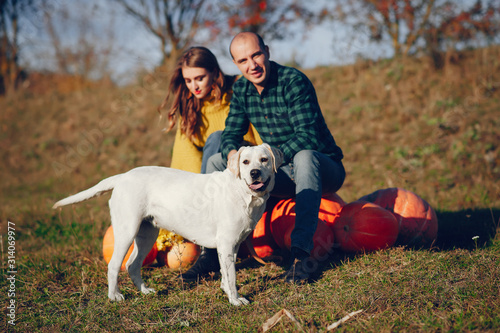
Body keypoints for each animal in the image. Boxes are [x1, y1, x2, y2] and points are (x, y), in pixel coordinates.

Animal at [54, 143, 284, 304]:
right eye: (245, 162)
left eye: (264, 160)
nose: (255, 173)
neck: (243, 193)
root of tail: (123, 176)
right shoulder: (226, 244)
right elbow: (233, 277)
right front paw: (235, 300)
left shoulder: (233, 246)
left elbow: (226, 275)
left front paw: (227, 293)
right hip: (126, 232)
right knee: (114, 266)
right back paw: (114, 296)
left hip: (147, 235)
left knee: (132, 265)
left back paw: (145, 291)